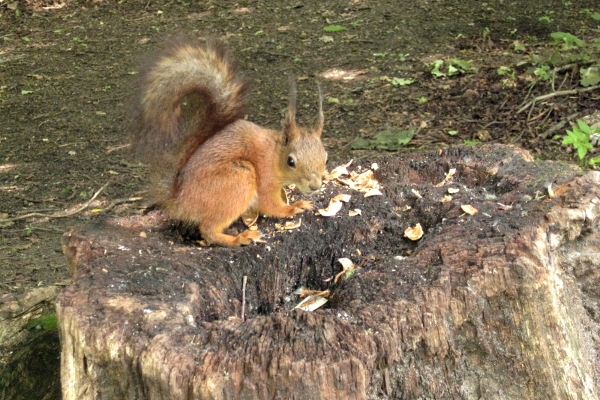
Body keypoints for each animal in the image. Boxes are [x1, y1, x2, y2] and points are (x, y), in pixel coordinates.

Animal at [131, 39, 328, 247]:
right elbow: (270, 205)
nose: (315, 186)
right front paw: (294, 207)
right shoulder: (265, 181)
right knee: (208, 229)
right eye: (291, 161)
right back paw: (239, 238)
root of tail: (179, 200)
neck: (275, 156)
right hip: (238, 179)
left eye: (326, 159)